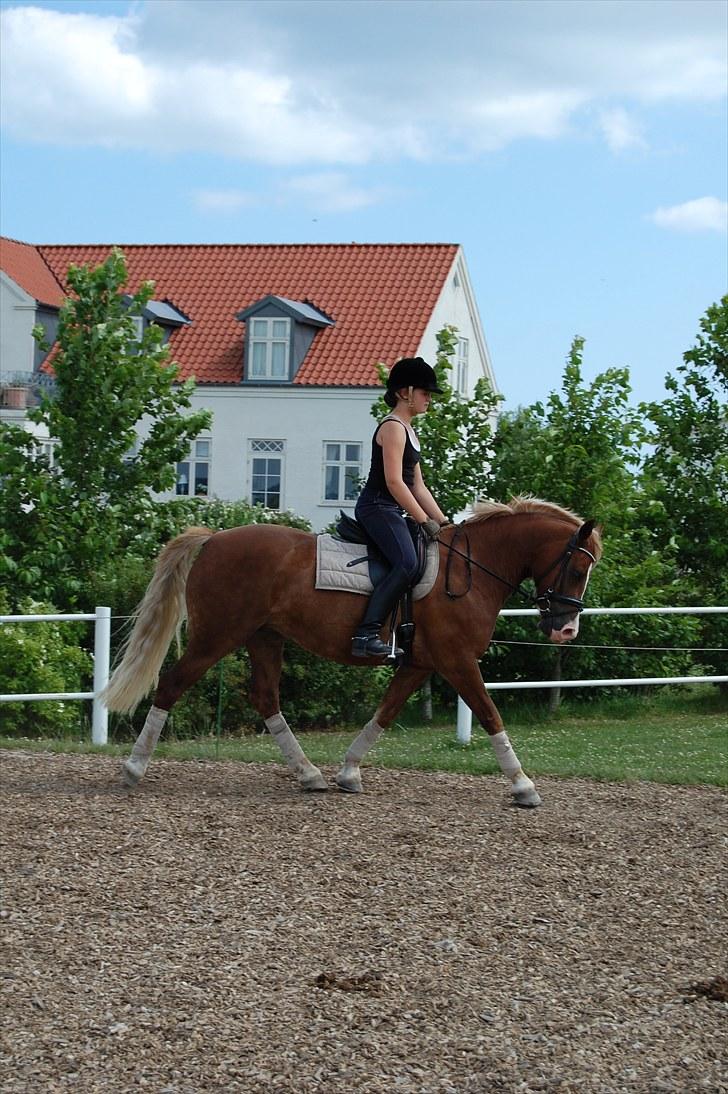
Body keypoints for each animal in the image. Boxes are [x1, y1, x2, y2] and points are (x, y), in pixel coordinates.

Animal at [103, 496, 601, 808]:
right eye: (578, 568)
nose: (566, 629)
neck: (471, 570)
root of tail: (213, 538)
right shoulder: (457, 662)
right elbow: (490, 714)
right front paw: (523, 785)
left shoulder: (419, 664)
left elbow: (385, 712)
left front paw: (348, 773)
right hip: (217, 637)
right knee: (172, 685)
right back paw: (133, 768)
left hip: (264, 637)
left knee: (266, 698)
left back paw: (309, 775)